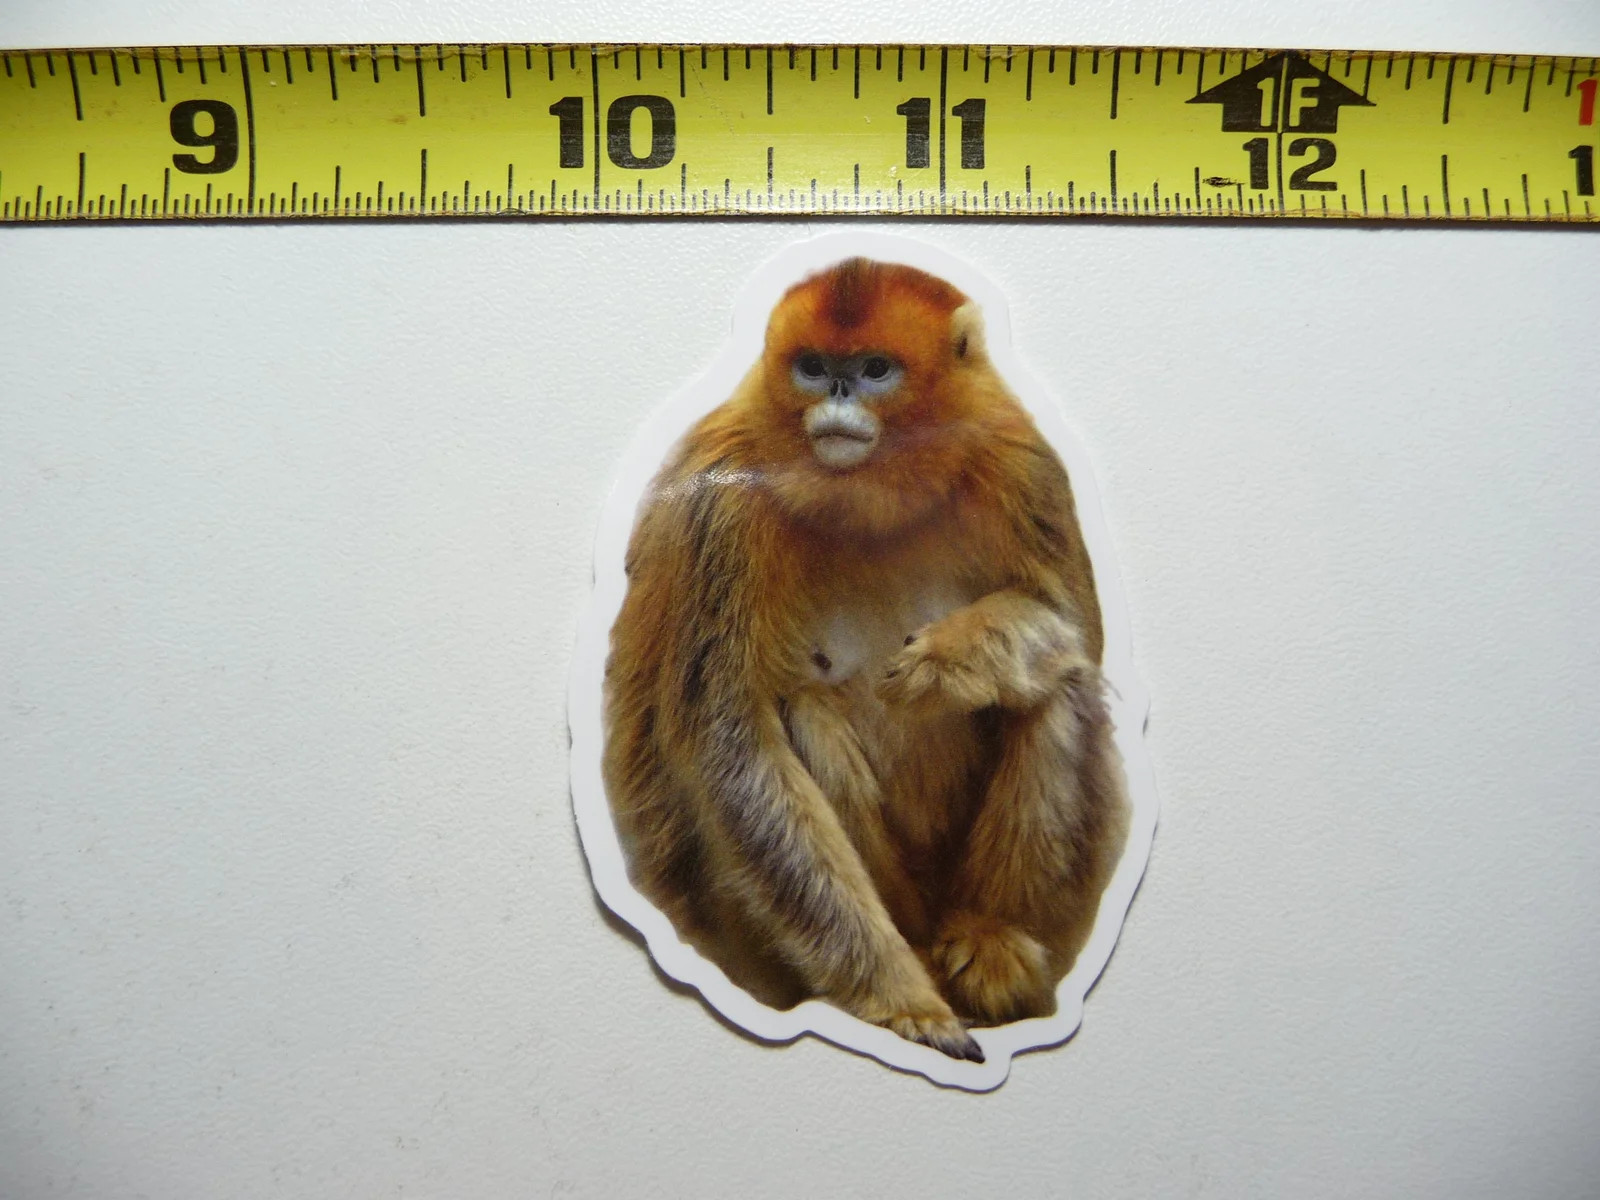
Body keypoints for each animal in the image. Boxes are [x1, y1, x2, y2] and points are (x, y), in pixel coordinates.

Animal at [603, 257, 1128, 1062]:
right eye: (815, 369)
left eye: (875, 370)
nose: (839, 398)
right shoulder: (721, 499)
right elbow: (732, 745)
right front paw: (900, 999)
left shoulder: (1022, 460)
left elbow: (1074, 629)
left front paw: (949, 660)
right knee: (802, 709)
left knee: (1057, 682)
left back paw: (993, 940)